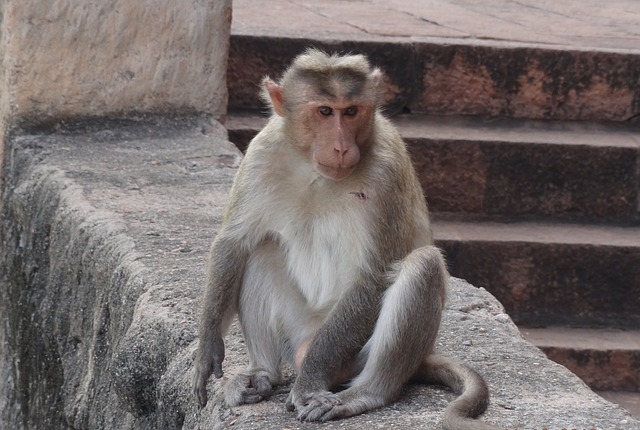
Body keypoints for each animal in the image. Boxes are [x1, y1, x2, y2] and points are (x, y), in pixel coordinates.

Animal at [192, 48, 502, 428]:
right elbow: (235, 243)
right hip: (297, 326)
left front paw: (308, 384)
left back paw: (365, 393)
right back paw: (263, 374)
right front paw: (207, 348)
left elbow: (372, 276)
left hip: (352, 356)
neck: (314, 170)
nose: (341, 147)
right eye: (325, 112)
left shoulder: (386, 168)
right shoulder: (262, 150)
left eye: (351, 112)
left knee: (423, 265)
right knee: (262, 249)